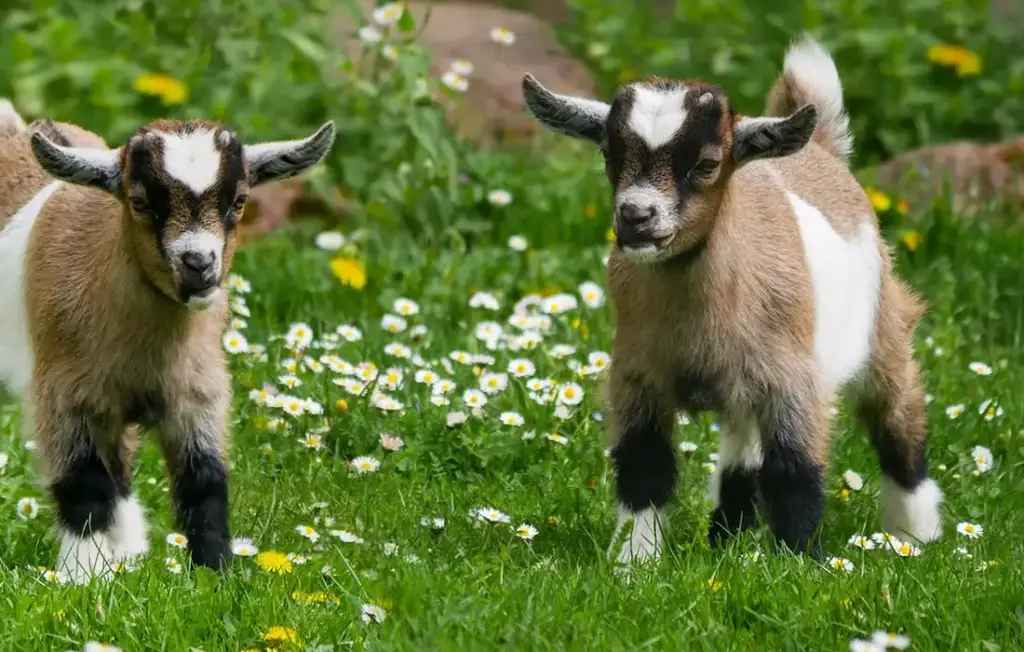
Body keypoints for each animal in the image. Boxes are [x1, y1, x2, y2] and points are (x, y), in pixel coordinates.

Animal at [0, 103, 336, 582]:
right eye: (140, 202)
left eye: (239, 201)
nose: (199, 264)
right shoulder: (65, 396)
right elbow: (83, 485)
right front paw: (83, 576)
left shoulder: (198, 393)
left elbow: (204, 482)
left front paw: (214, 573)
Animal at [521, 35, 942, 565]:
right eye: (608, 156)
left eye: (705, 164)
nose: (636, 216)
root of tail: (821, 149)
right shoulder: (637, 374)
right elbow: (644, 466)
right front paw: (634, 562)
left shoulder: (793, 381)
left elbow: (794, 472)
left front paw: (801, 563)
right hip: (742, 385)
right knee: (742, 450)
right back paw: (727, 535)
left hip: (883, 328)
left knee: (897, 419)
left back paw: (915, 535)